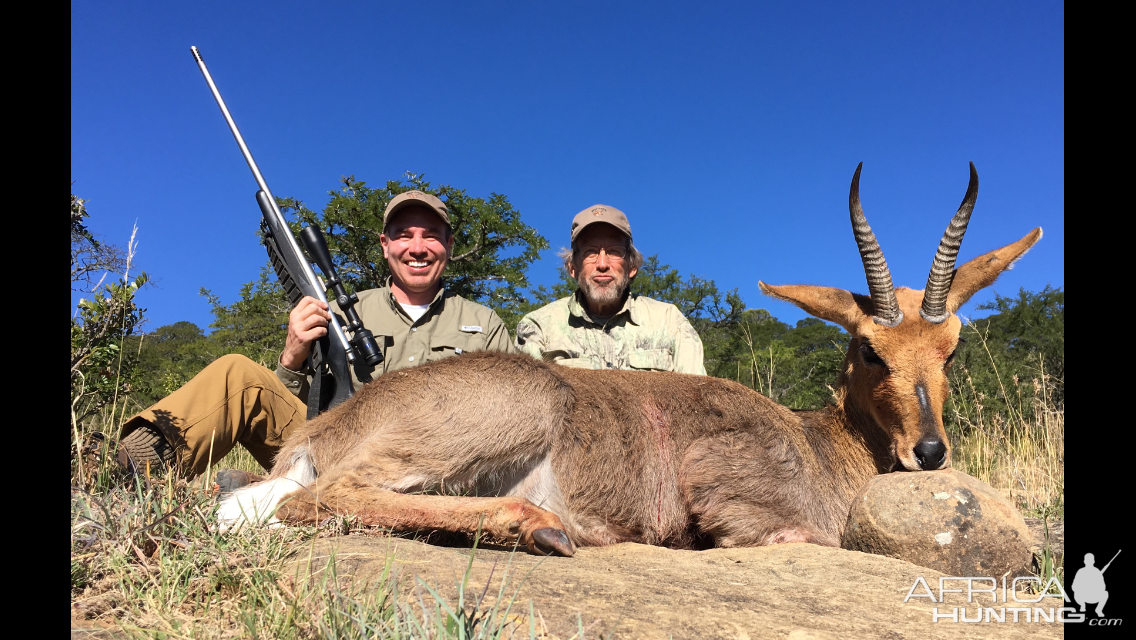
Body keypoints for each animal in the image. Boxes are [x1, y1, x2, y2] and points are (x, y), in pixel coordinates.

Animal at [216, 163, 1040, 557]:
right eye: (870, 348)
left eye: (952, 348)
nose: (928, 453)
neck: (819, 444)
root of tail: (323, 429)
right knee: (313, 499)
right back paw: (544, 529)